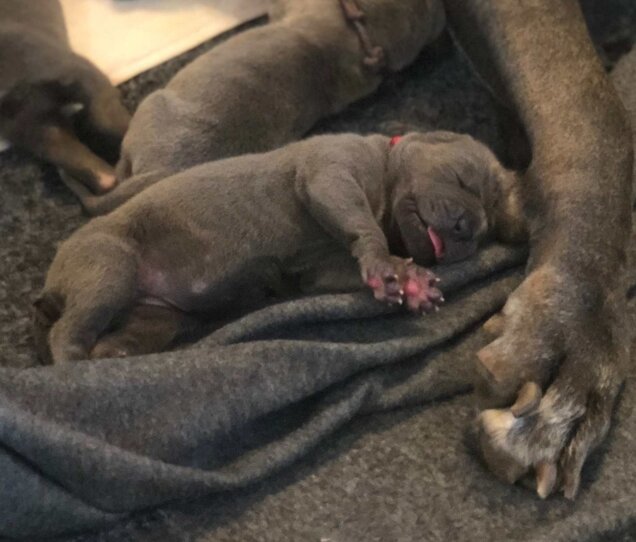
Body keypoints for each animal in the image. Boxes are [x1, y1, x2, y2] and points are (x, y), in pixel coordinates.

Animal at [34, 131, 526, 364]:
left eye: (485, 230)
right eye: (463, 179)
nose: (467, 226)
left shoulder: (320, 269)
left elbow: (341, 268)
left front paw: (410, 281)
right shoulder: (329, 170)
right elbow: (358, 221)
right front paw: (387, 263)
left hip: (157, 317)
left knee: (123, 336)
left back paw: (111, 356)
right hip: (108, 268)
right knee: (66, 332)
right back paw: (74, 364)